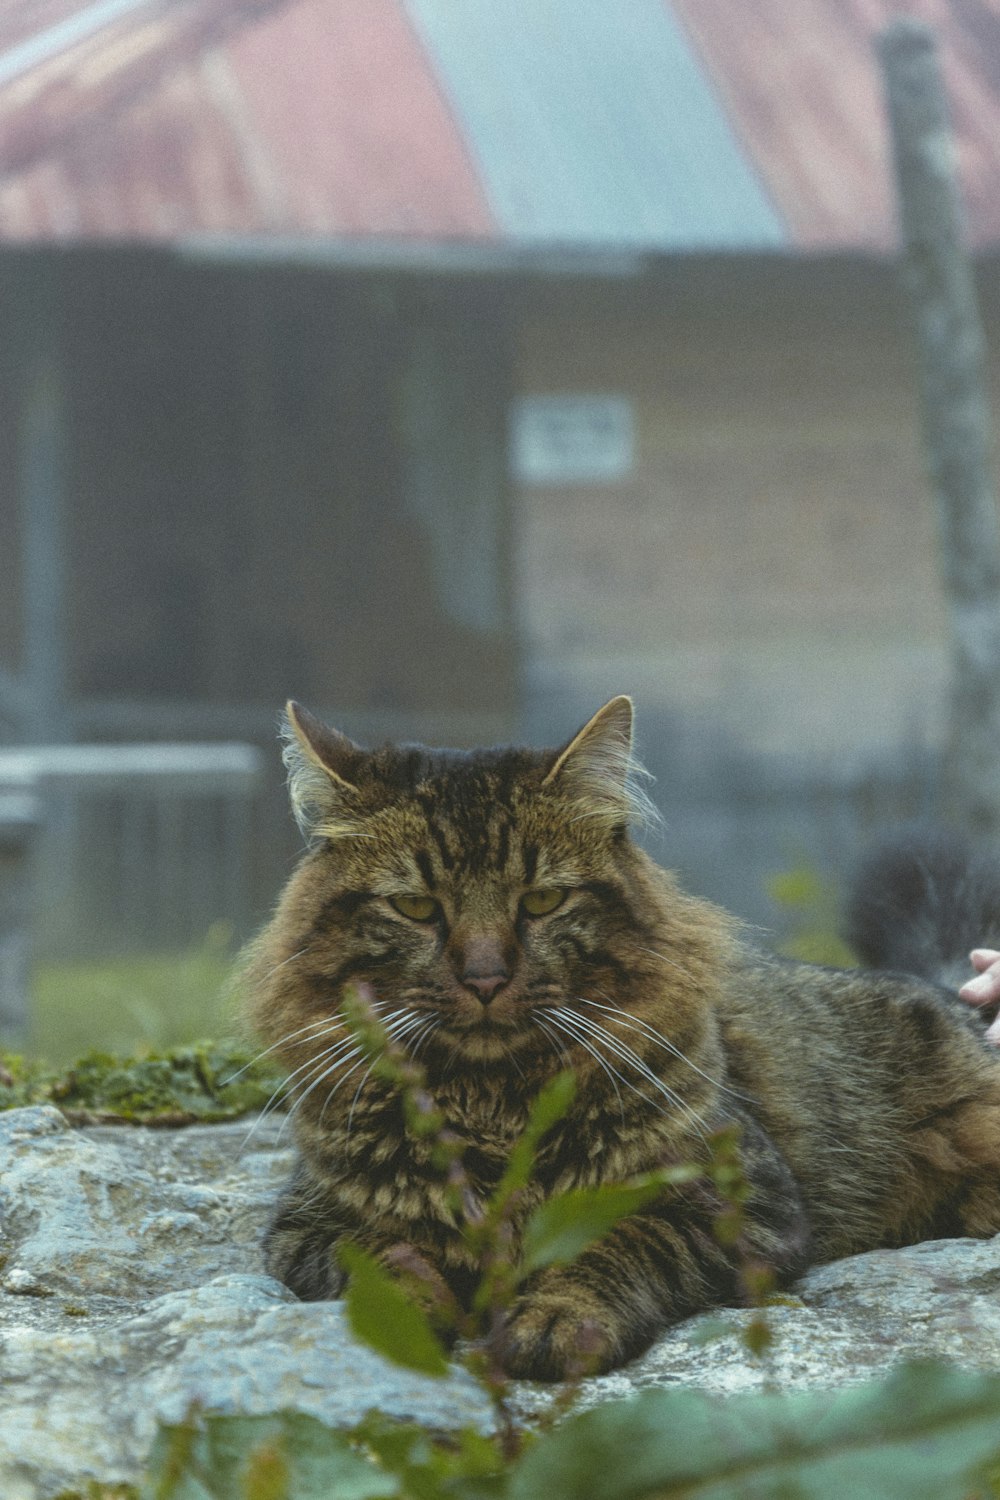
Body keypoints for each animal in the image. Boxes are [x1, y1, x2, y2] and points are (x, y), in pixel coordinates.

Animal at [242, 702, 1000, 1380]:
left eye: (542, 902)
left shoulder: (742, 1204)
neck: (492, 1107)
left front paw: (555, 1319)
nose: (486, 978)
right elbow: (383, 1257)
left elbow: (615, 1244)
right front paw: (412, 1309)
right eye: (416, 907)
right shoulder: (308, 1224)